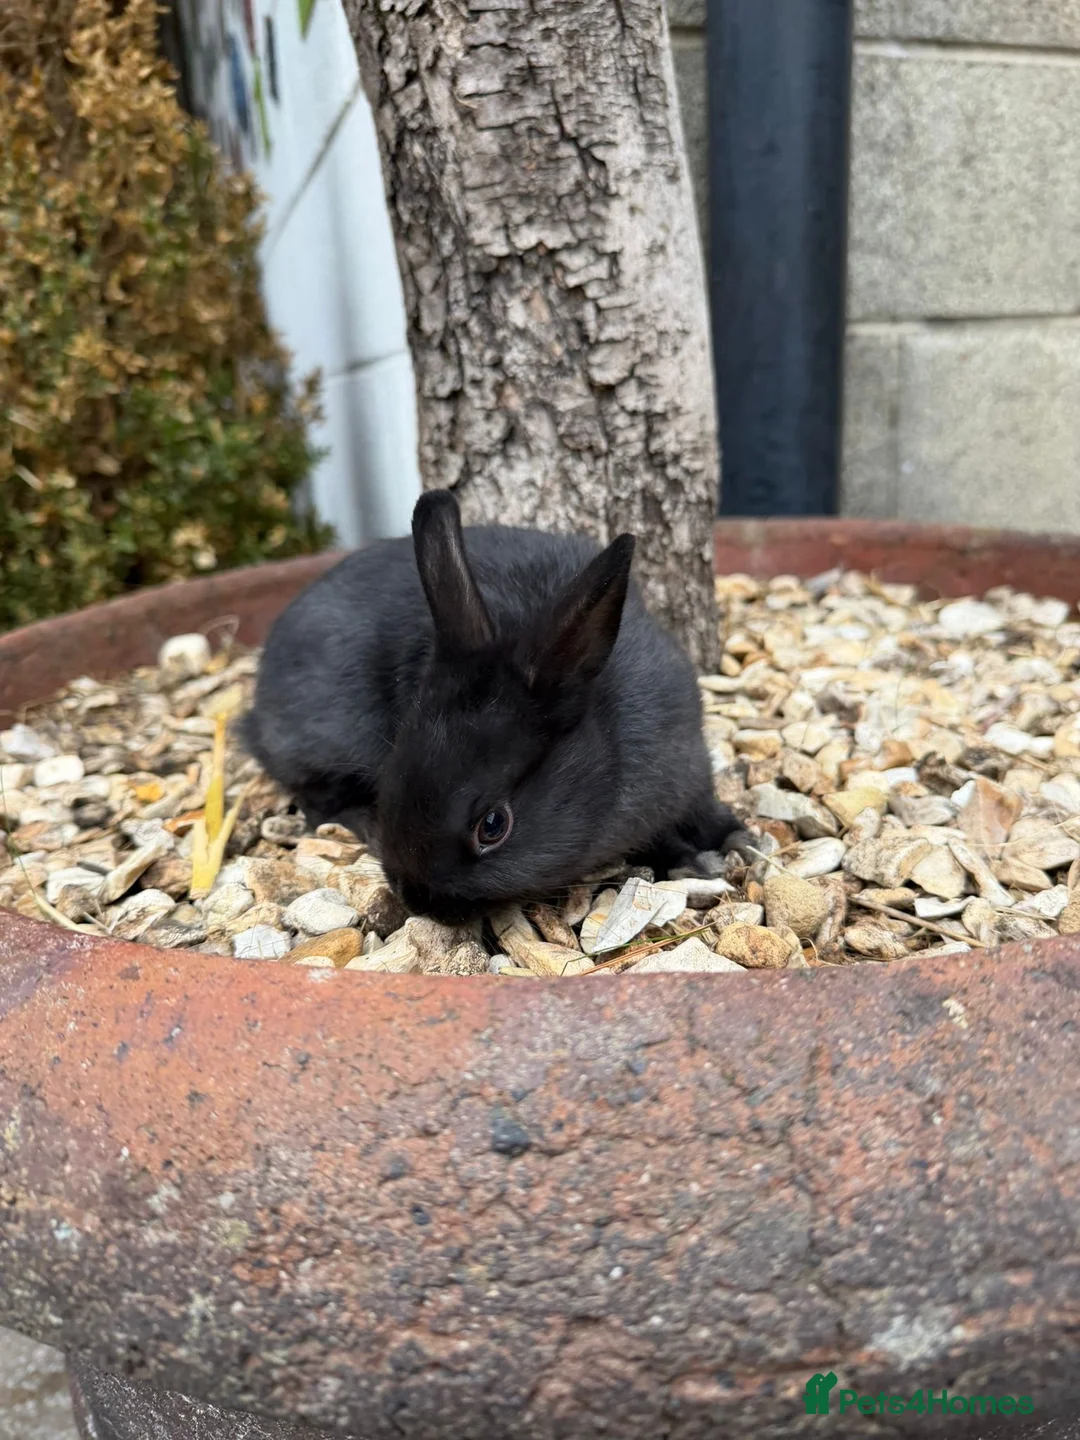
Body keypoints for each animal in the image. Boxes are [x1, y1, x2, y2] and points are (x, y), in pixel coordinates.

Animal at [240, 488, 748, 923]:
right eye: (389, 781)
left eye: (493, 826)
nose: (417, 901)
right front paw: (688, 862)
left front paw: (734, 837)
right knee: (315, 800)